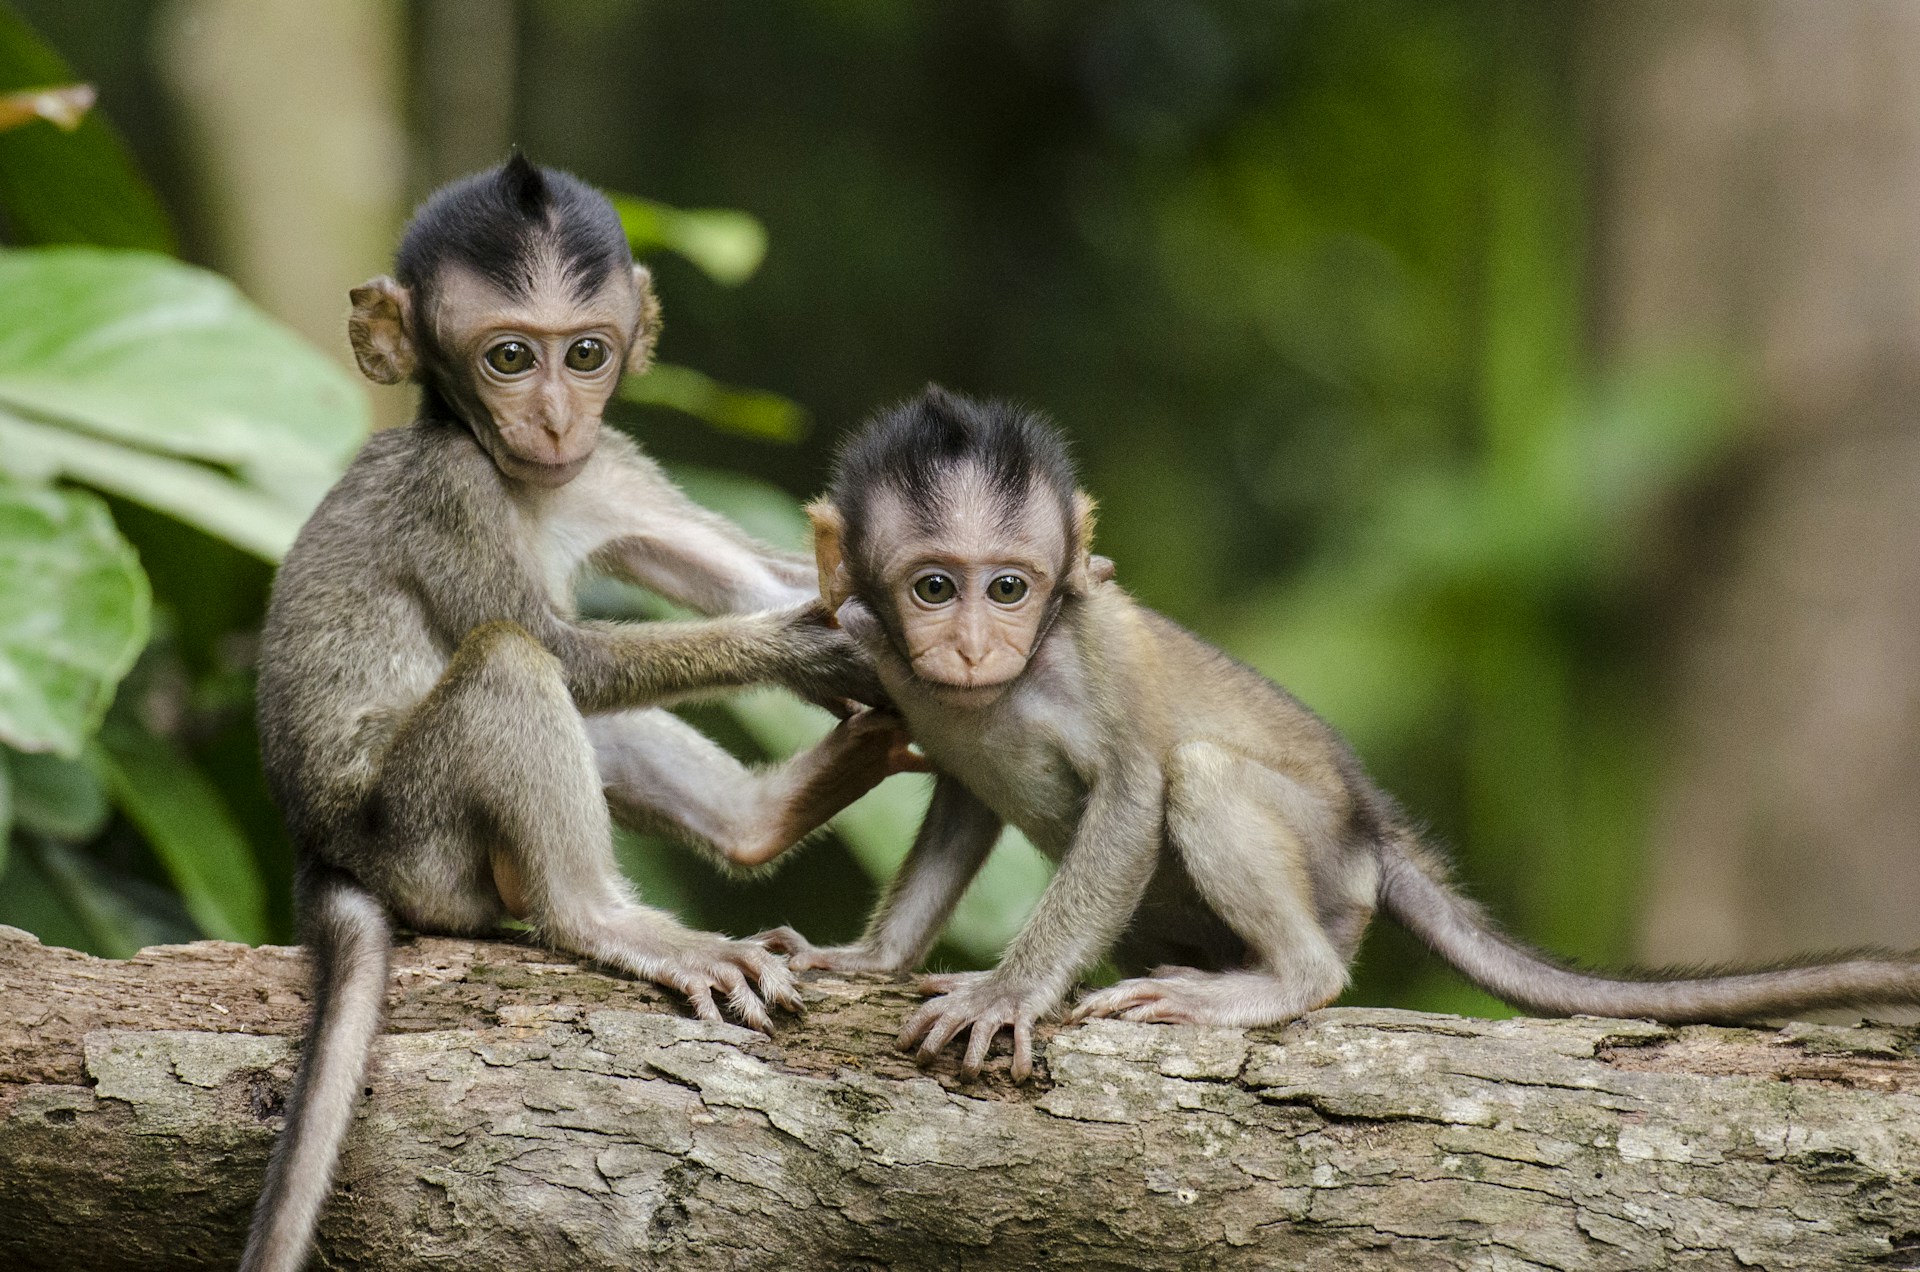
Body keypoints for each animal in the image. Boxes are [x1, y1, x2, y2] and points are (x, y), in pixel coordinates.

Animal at [240, 156, 915, 1272]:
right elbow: (560, 652)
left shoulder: (610, 466)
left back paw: (762, 817)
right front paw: (813, 647)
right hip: (418, 840)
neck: (524, 481)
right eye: (509, 357)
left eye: (586, 353)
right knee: (512, 665)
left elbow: (745, 576)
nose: (556, 418)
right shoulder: (451, 489)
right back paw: (604, 918)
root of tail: (321, 850)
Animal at [760, 386, 1920, 1082]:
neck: (991, 693)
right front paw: (867, 959)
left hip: (1328, 868)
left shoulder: (1087, 652)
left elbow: (1134, 793)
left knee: (1205, 777)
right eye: (934, 587)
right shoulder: (887, 662)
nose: (970, 646)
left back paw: (1285, 980)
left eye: (1009, 587)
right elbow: (961, 801)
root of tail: (1373, 830)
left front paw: (1008, 992)